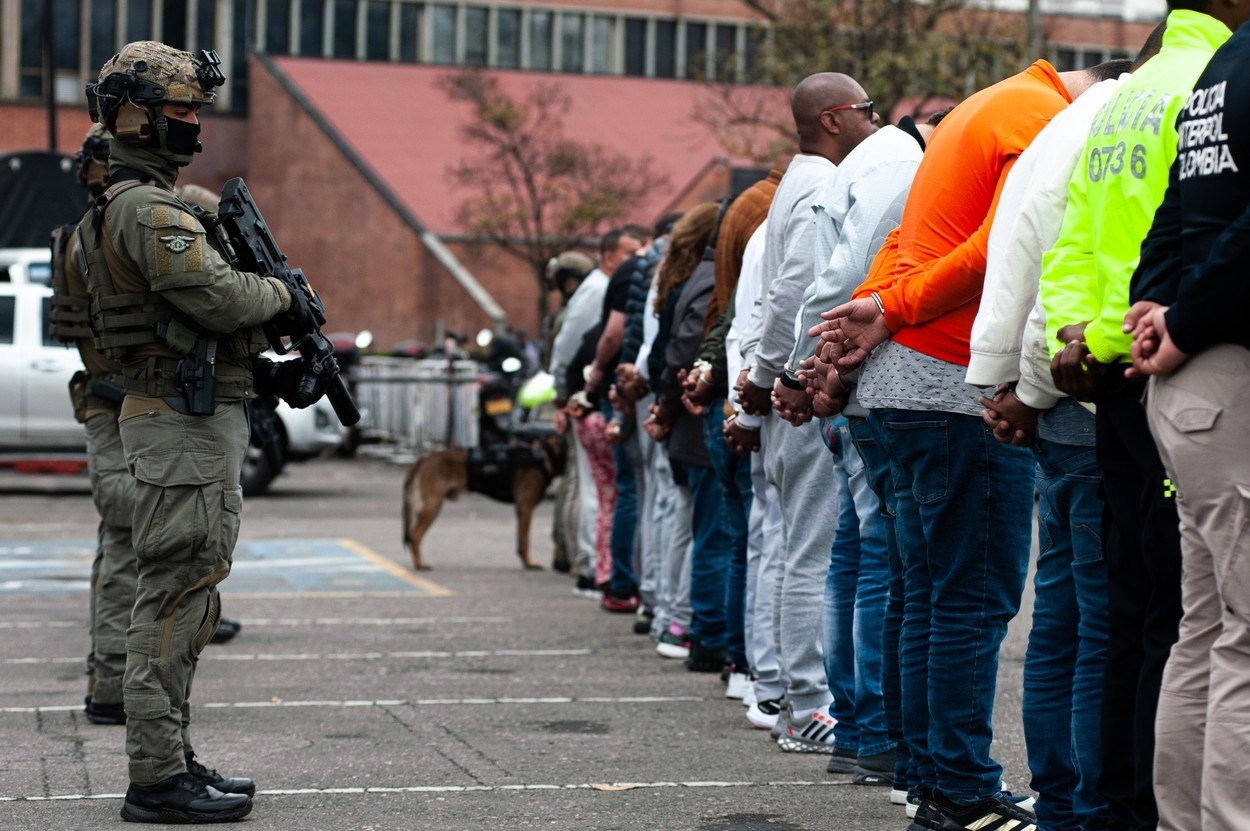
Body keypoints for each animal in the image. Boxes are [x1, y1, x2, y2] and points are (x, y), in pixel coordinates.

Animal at [402, 434, 565, 569]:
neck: (543, 456)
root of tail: (424, 458)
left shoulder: (522, 511)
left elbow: (520, 540)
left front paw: (525, 561)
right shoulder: (525, 508)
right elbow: (525, 541)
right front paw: (530, 563)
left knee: (412, 536)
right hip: (432, 507)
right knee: (414, 537)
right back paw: (420, 564)